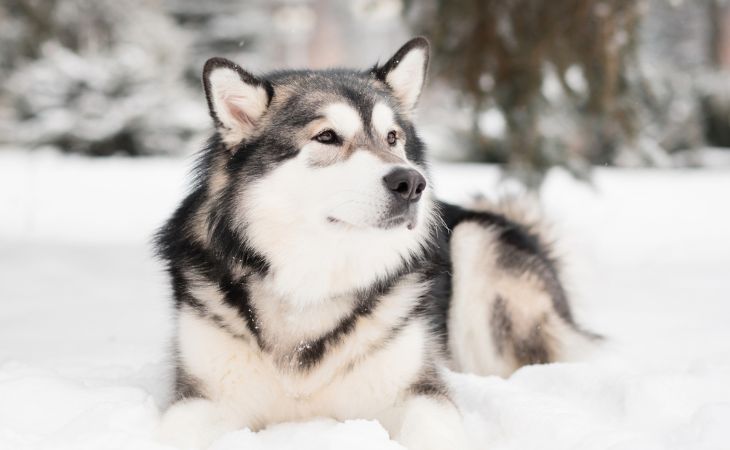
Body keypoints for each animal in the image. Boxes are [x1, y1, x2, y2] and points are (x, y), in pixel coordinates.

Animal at [156, 37, 596, 448]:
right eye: (327, 137)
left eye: (392, 138)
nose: (412, 183)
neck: (311, 286)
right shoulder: (204, 397)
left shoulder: (419, 391)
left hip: (478, 246)